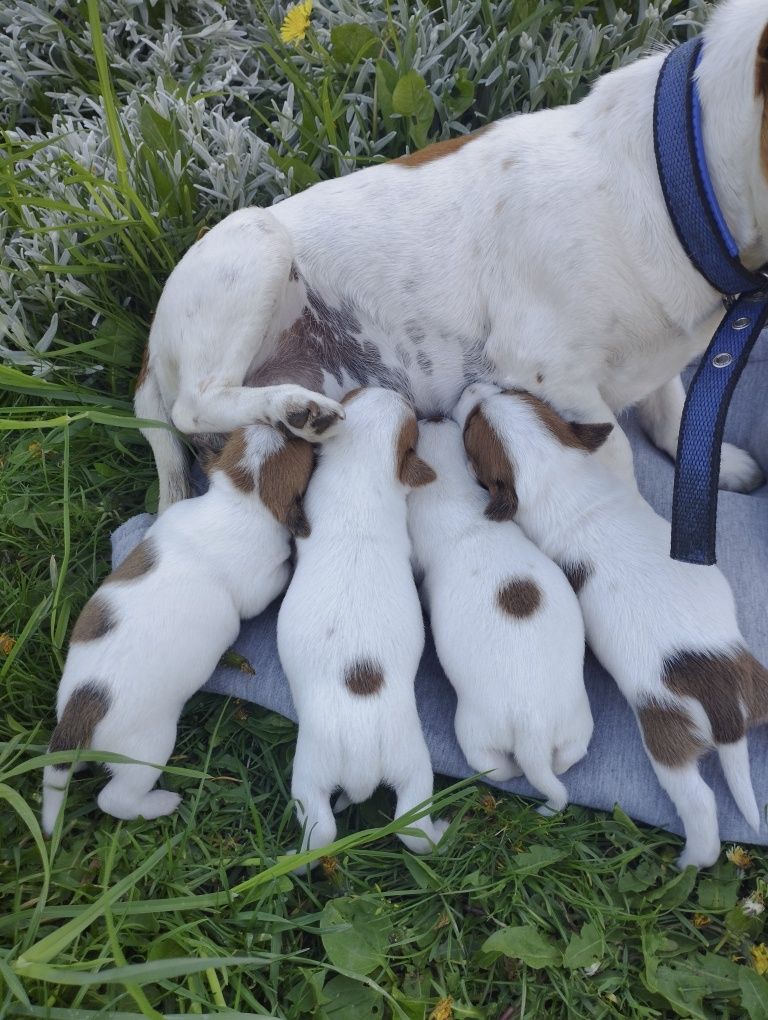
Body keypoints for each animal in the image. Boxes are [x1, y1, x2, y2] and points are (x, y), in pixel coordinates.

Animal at [39, 422, 312, 836]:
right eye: (303, 448)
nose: (281, 422)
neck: (241, 497)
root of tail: (82, 709)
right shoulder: (259, 583)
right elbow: (271, 582)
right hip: (147, 749)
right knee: (115, 798)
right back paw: (159, 803)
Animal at [136, 0, 766, 510]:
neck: (674, 176)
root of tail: (149, 348)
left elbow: (674, 413)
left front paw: (719, 464)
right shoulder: (551, 373)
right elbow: (618, 464)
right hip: (257, 237)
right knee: (195, 403)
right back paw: (291, 407)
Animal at [275, 383, 446, 860]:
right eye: (357, 392)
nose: (391, 386)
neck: (362, 468)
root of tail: (363, 763)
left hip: (312, 771)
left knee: (322, 830)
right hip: (413, 768)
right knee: (411, 826)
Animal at [407, 416, 591, 811]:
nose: (434, 415)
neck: (451, 489)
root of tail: (532, 730)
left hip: (475, 733)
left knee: (496, 768)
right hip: (576, 723)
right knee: (567, 758)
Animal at [454, 383, 766, 869]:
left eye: (470, 428)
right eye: (513, 390)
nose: (472, 386)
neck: (556, 471)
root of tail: (722, 702)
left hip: (667, 733)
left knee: (698, 800)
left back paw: (691, 860)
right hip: (757, 681)